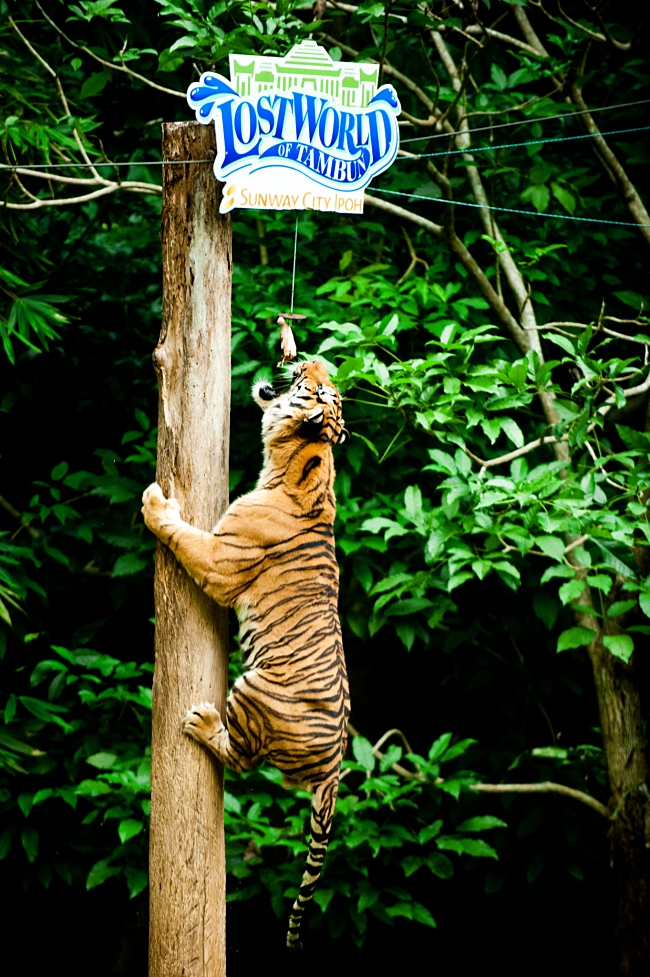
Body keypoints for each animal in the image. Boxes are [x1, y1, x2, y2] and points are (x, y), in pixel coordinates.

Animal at [141, 356, 350, 944]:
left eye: (320, 389)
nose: (313, 359)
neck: (299, 464)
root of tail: (333, 773)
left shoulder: (218, 560)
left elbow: (180, 533)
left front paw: (154, 502)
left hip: (254, 688)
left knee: (239, 759)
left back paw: (203, 724)